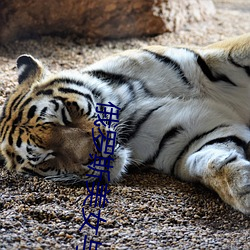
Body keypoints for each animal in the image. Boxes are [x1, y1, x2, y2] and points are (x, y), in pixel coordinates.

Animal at [0, 32, 250, 213]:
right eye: (48, 158)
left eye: (65, 115)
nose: (95, 156)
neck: (126, 104)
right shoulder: (186, 138)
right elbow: (210, 161)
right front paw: (243, 188)